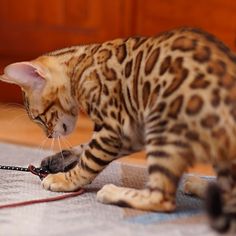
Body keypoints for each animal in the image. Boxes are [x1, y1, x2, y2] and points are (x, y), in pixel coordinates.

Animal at [1, 27, 236, 232]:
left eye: (38, 118)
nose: (49, 135)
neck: (81, 64)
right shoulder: (131, 134)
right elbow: (83, 148)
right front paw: (57, 160)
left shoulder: (113, 130)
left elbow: (88, 161)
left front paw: (63, 180)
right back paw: (202, 186)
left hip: (163, 129)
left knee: (162, 199)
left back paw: (113, 192)